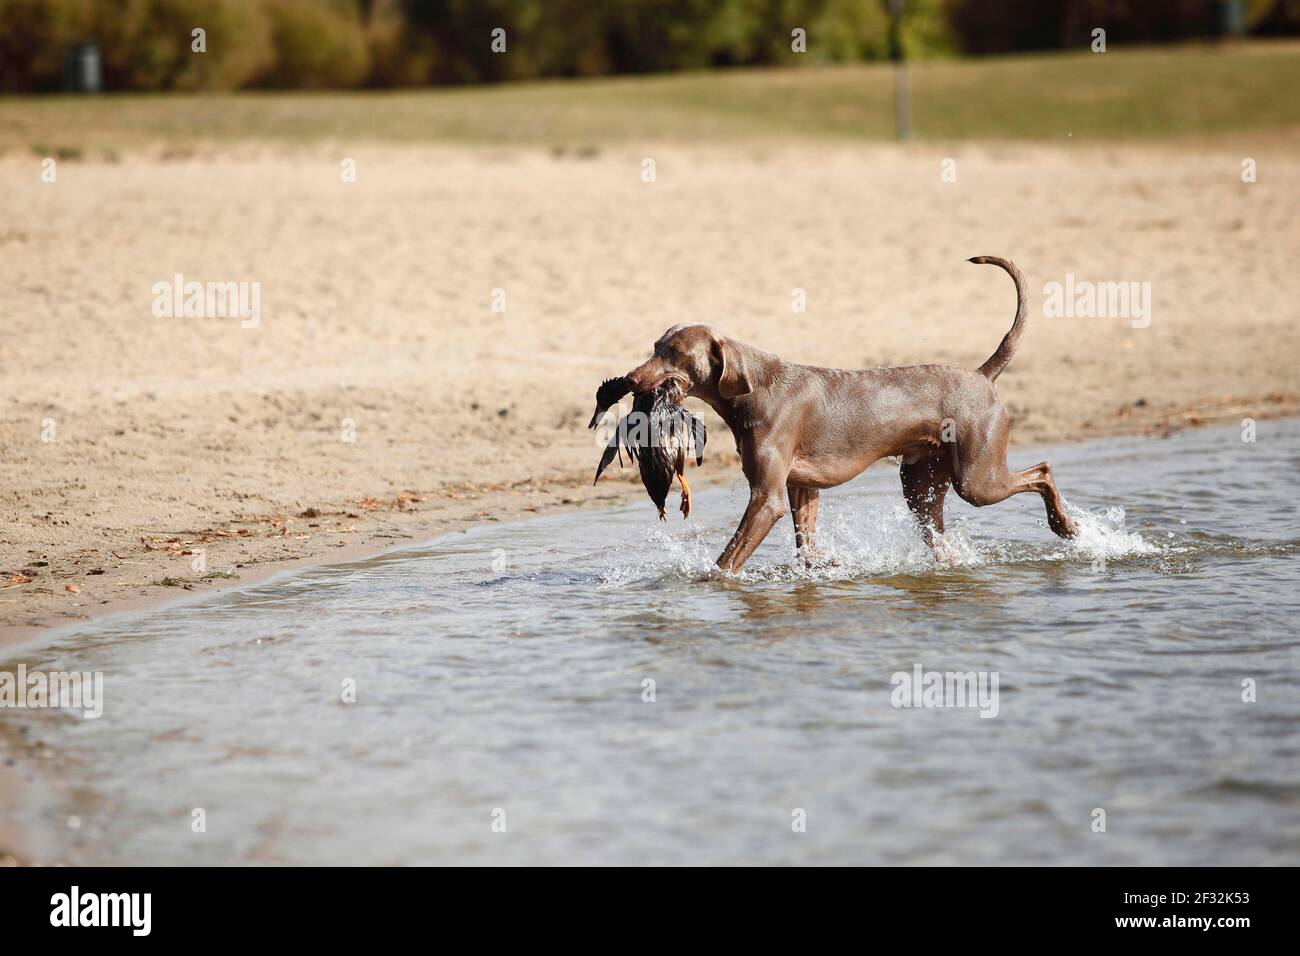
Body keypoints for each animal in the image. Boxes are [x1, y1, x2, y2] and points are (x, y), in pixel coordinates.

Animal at [618, 254, 1076, 572]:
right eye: (655, 346)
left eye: (676, 352)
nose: (629, 378)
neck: (753, 388)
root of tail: (982, 375)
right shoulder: (802, 487)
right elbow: (806, 545)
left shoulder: (767, 498)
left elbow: (726, 561)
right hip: (921, 483)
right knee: (941, 536)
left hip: (977, 477)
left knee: (1043, 470)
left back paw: (1066, 527)